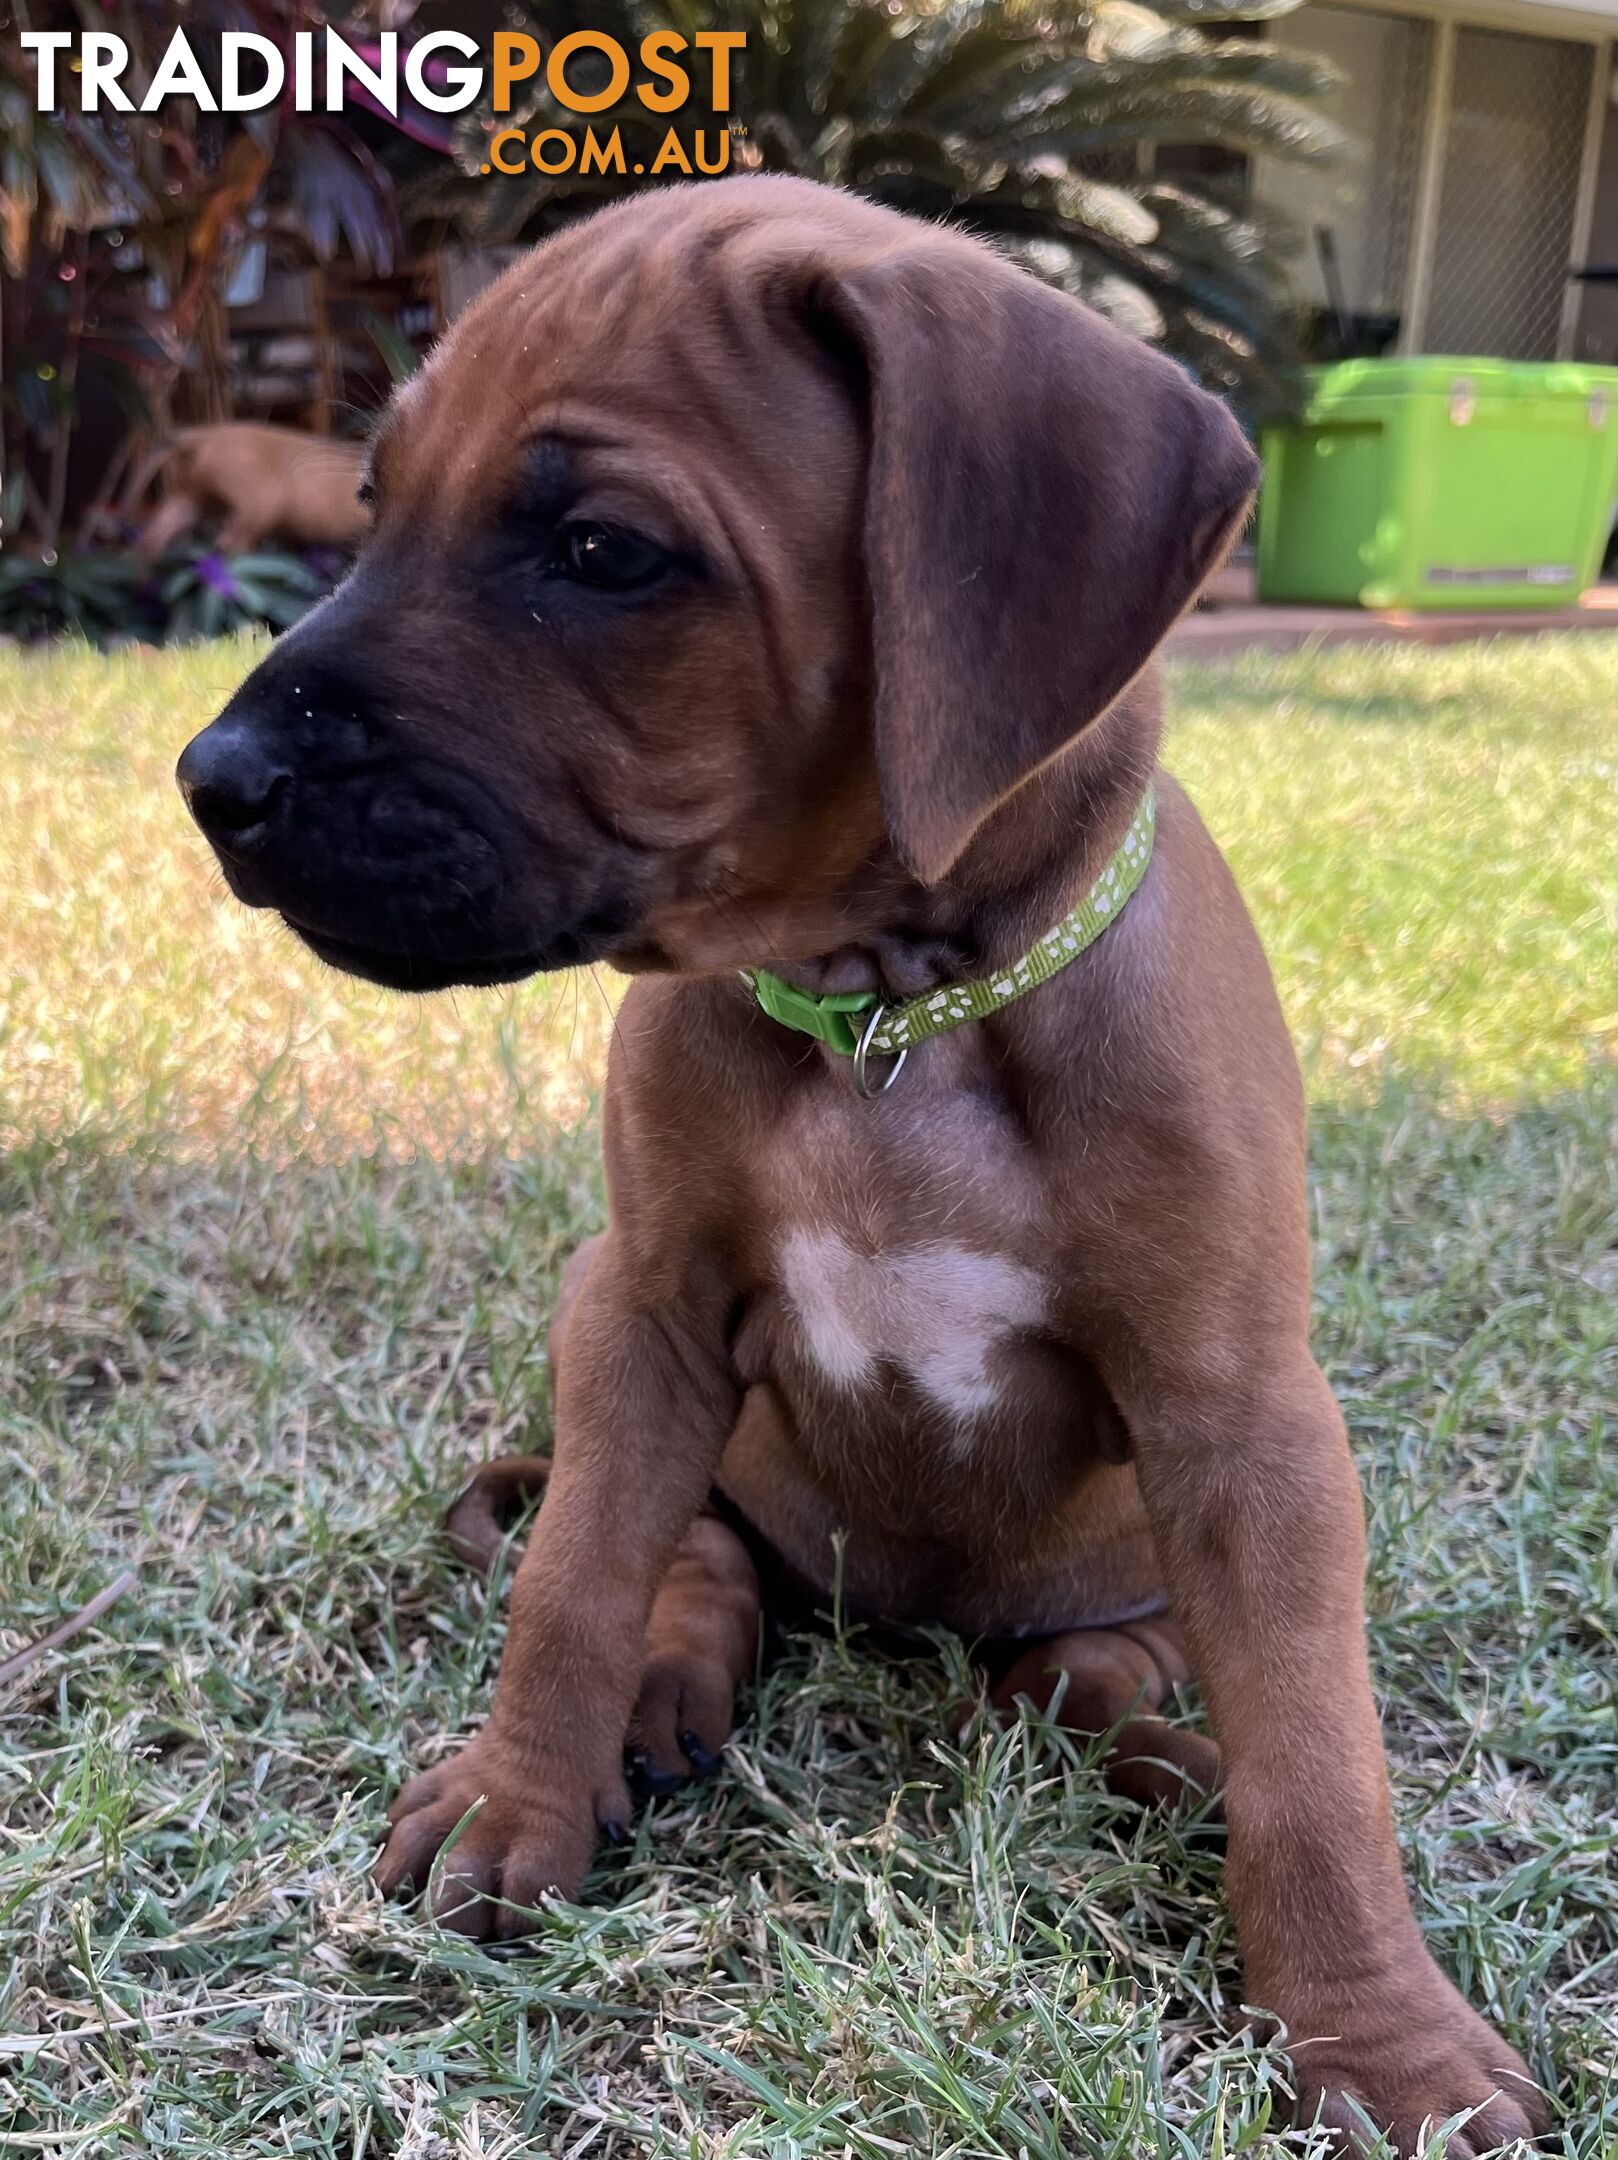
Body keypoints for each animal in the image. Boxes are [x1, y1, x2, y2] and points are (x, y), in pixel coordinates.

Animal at [173, 177, 1538, 2151]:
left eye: (598, 551)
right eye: (371, 505)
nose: (212, 780)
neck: (897, 1014)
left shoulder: (1247, 1421)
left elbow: (1316, 1752)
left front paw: (1382, 2036)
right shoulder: (645, 1309)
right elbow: (571, 1582)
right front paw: (516, 1797)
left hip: (1125, 1564)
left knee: (1086, 1678)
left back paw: (1155, 1745)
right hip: (654, 1380)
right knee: (698, 1561)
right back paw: (664, 1697)